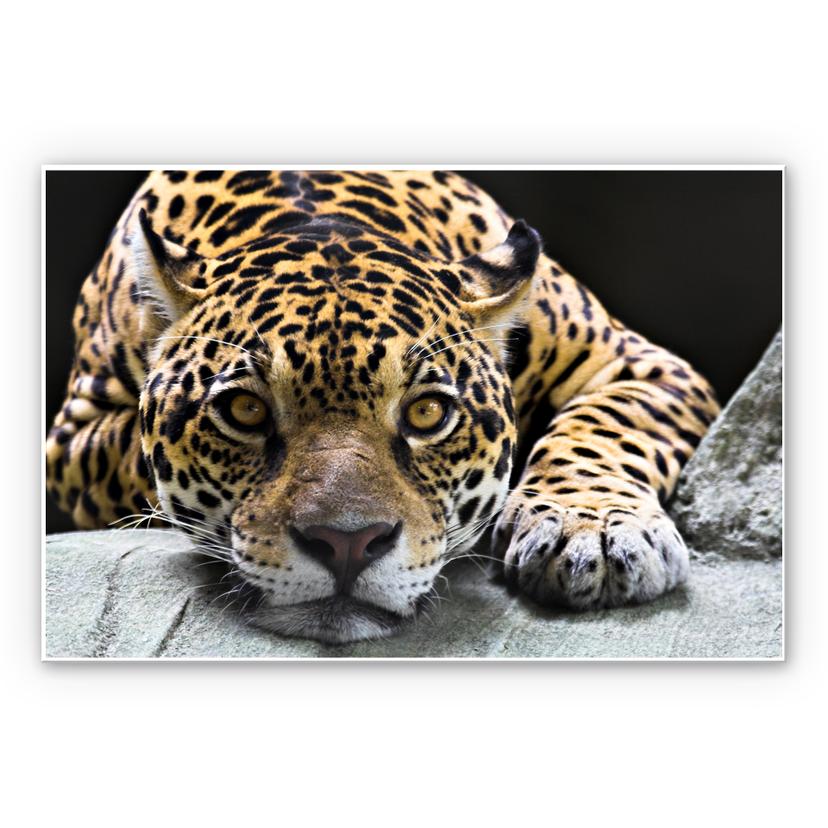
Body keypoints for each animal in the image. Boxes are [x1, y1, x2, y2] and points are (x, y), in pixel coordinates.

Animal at [45, 169, 720, 643]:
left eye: (427, 414)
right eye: (245, 412)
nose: (348, 544)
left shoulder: (635, 365)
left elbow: (602, 429)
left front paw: (595, 535)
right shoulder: (72, 440)